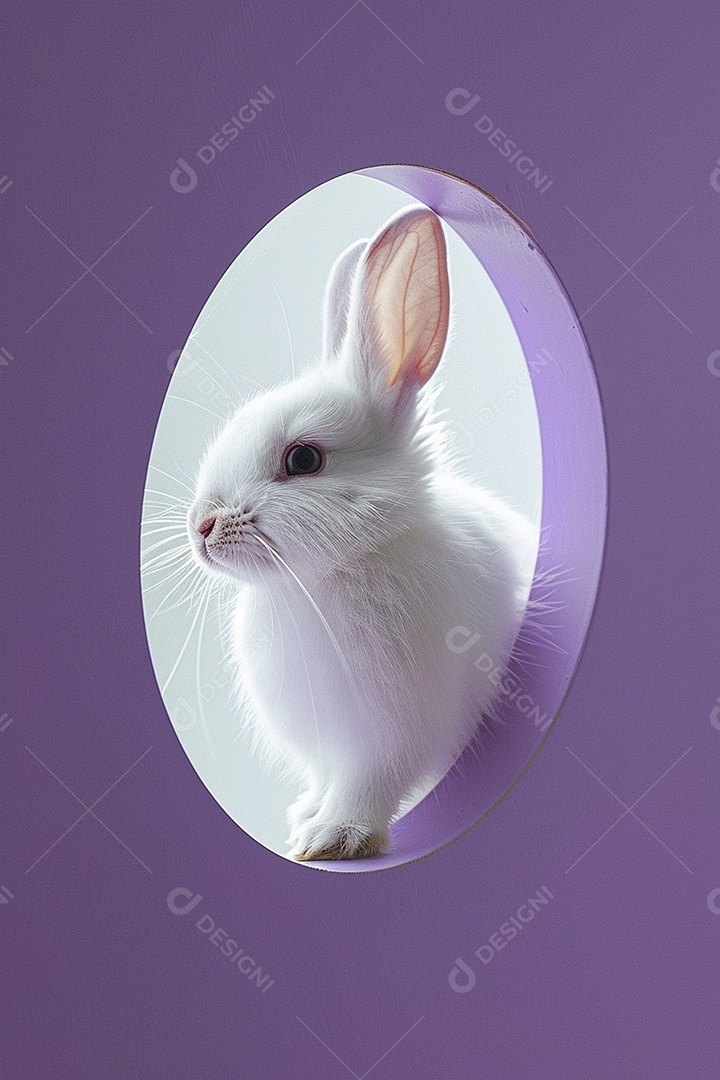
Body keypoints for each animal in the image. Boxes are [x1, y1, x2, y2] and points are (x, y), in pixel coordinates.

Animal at [186, 205, 537, 861]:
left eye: (303, 460)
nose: (202, 528)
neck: (320, 580)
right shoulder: (329, 752)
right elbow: (325, 782)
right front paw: (305, 818)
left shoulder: (383, 744)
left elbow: (365, 790)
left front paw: (331, 839)